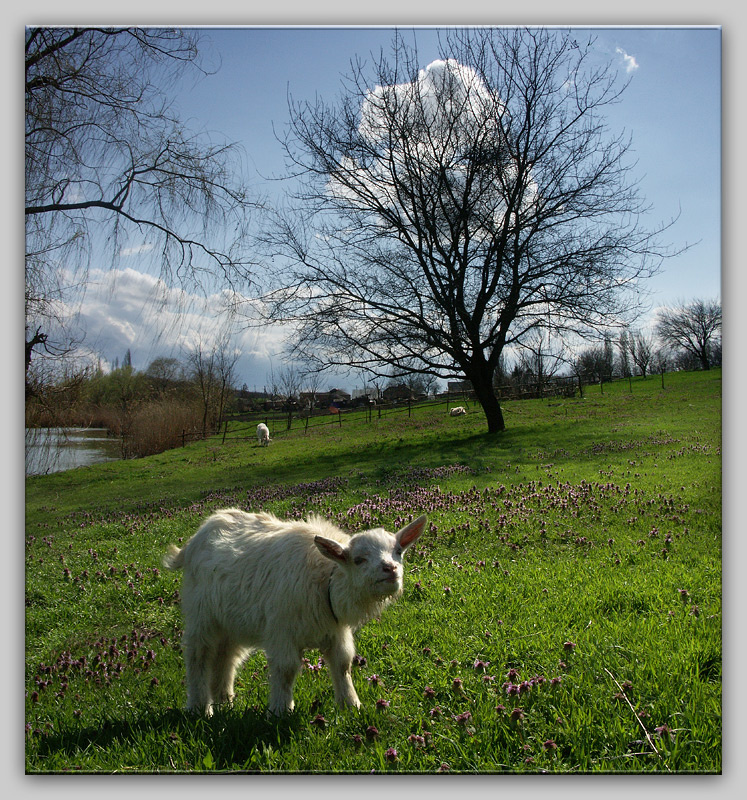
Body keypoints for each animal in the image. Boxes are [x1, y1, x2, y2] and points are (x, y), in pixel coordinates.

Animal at [163, 509, 427, 716]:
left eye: (398, 551)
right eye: (359, 559)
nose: (390, 569)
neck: (327, 577)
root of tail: (194, 540)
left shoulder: (335, 630)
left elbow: (343, 663)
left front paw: (351, 706)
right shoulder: (282, 630)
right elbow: (287, 668)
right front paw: (280, 711)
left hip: (230, 622)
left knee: (225, 658)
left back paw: (224, 702)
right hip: (201, 615)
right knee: (198, 656)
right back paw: (200, 708)